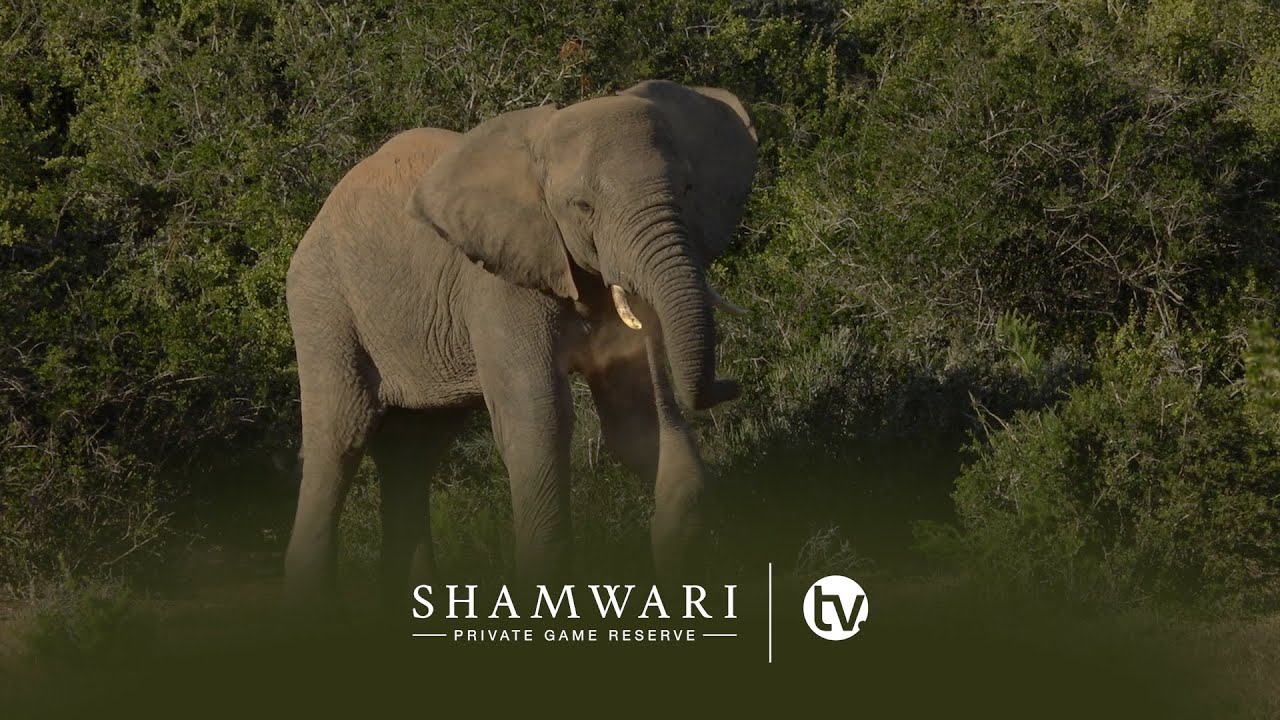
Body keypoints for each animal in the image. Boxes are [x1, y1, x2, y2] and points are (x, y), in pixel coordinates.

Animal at [282, 80, 757, 610]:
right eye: (583, 207)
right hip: (323, 304)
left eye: (688, 190)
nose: (733, 385)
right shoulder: (497, 282)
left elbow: (637, 421)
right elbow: (539, 419)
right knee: (340, 437)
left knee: (413, 454)